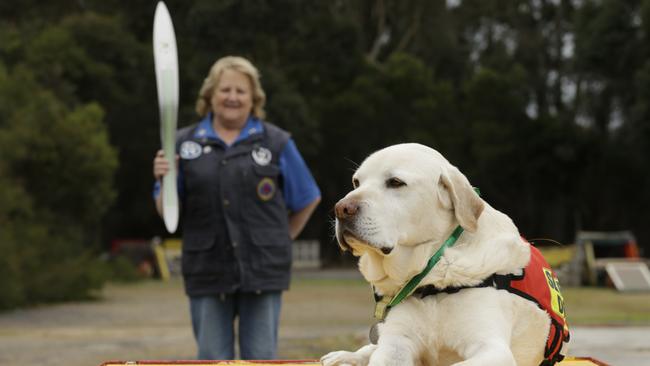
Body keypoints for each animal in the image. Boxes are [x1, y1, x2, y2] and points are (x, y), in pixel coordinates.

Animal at [322, 144, 564, 366]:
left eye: (395, 182)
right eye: (356, 182)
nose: (341, 209)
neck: (433, 278)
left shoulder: (492, 349)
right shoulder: (396, 343)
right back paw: (343, 356)